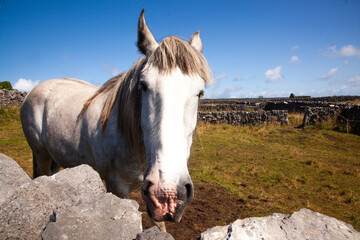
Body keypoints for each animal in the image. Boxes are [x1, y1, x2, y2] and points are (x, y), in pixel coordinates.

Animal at [19, 9, 211, 231]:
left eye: (200, 93)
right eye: (143, 85)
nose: (167, 194)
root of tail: (34, 90)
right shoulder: (116, 187)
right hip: (40, 154)